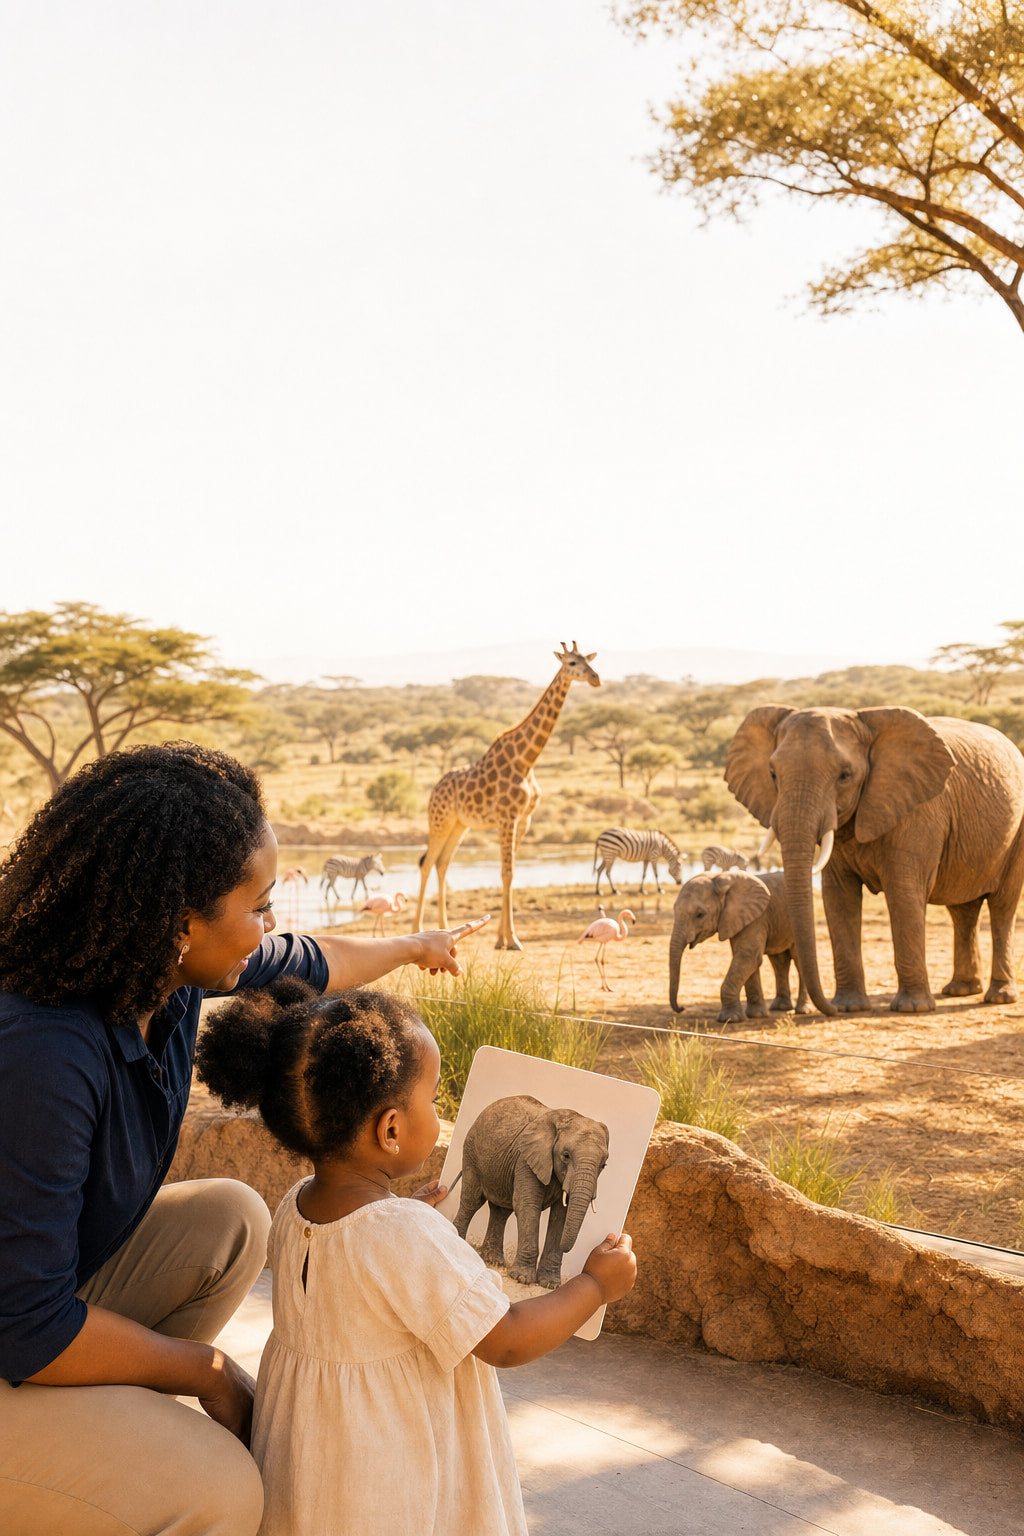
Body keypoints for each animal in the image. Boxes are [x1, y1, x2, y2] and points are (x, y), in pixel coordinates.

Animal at [414, 642, 601, 949]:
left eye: (588, 659)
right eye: (572, 663)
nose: (596, 678)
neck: (526, 760)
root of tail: (434, 789)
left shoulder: (523, 820)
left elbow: (510, 874)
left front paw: (503, 938)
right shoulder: (507, 817)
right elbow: (507, 873)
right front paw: (511, 938)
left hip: (460, 825)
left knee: (442, 863)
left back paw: (444, 927)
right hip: (439, 821)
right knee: (427, 863)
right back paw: (417, 927)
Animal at [453, 1095, 610, 1288]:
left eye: (603, 1165)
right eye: (566, 1155)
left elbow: (561, 1216)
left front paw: (549, 1284)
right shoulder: (526, 1159)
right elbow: (528, 1205)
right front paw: (522, 1279)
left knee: (501, 1211)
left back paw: (493, 1261)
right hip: (472, 1151)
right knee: (472, 1200)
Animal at [669, 868, 810, 1023]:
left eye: (700, 915)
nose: (682, 1008)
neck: (719, 879)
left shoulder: (757, 917)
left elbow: (748, 957)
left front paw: (730, 1019)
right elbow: (747, 959)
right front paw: (757, 1015)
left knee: (798, 960)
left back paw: (802, 1010)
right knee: (779, 962)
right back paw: (780, 1007)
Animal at [725, 706, 1024, 1016]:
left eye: (845, 775)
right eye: (772, 774)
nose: (826, 1009)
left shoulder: (918, 810)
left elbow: (903, 894)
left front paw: (911, 1009)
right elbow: (838, 898)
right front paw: (848, 1007)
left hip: (1017, 834)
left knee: (1003, 907)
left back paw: (998, 997)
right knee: (962, 910)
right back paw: (960, 990)